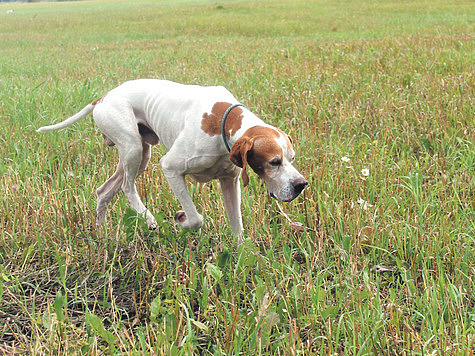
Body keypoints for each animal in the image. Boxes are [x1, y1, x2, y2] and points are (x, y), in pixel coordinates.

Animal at [37, 79, 308, 243]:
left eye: (292, 158)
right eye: (274, 162)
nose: (301, 184)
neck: (224, 121)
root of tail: (103, 98)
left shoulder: (230, 182)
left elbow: (238, 229)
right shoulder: (170, 168)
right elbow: (196, 219)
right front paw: (180, 220)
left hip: (139, 154)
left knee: (104, 191)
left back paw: (104, 234)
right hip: (133, 149)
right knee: (126, 187)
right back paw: (148, 219)